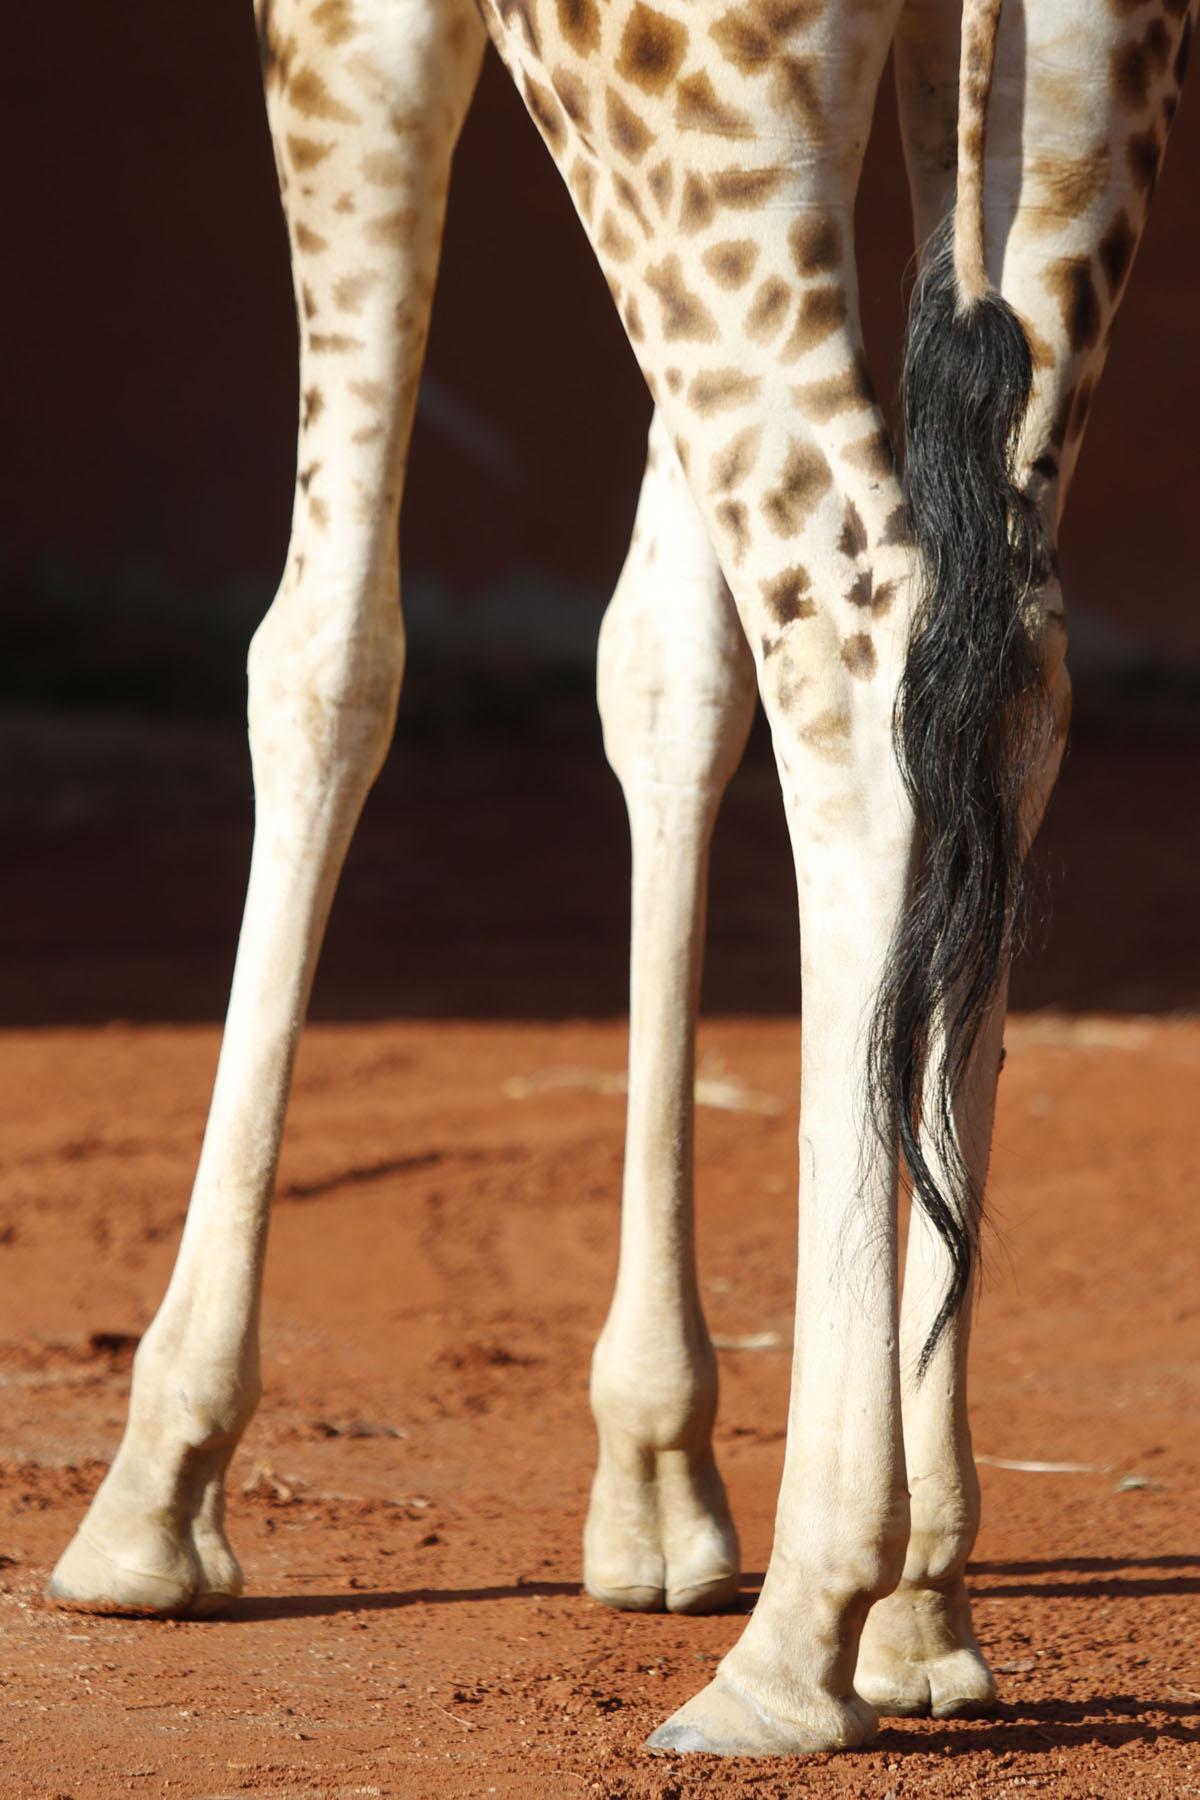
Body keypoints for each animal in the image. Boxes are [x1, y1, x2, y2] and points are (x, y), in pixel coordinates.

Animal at [46, 0, 1193, 1761]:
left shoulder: (351, 25)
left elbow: (324, 654)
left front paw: (158, 1488)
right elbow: (664, 662)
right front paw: (657, 1474)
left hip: (678, 86)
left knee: (855, 640)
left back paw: (803, 1633)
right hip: (1073, 82)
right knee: (1006, 669)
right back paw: (923, 1603)